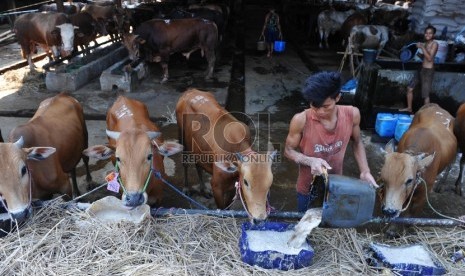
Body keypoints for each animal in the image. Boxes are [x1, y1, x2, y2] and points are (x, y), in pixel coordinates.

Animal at [175, 89, 276, 223]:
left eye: (269, 183)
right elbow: (222, 209)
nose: (259, 219)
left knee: (198, 164)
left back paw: (203, 189)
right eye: (246, 182)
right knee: (185, 162)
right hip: (182, 137)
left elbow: (228, 207)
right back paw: (186, 188)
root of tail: (190, 91)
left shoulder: (232, 186)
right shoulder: (216, 185)